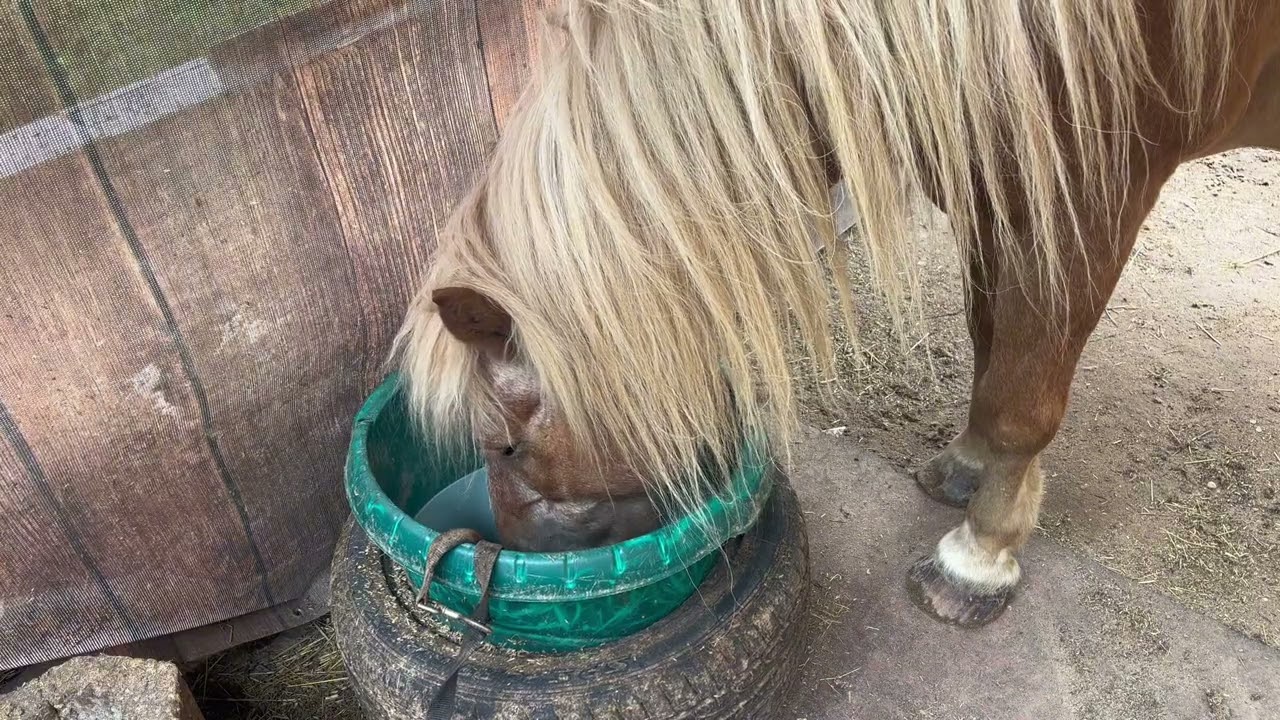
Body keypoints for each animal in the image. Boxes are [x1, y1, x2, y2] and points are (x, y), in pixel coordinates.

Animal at [391, 0, 1280, 628]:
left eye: (507, 445)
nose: (511, 561)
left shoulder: (1087, 196)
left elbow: (1023, 398)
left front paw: (978, 557)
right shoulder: (994, 179)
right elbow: (990, 336)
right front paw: (966, 470)